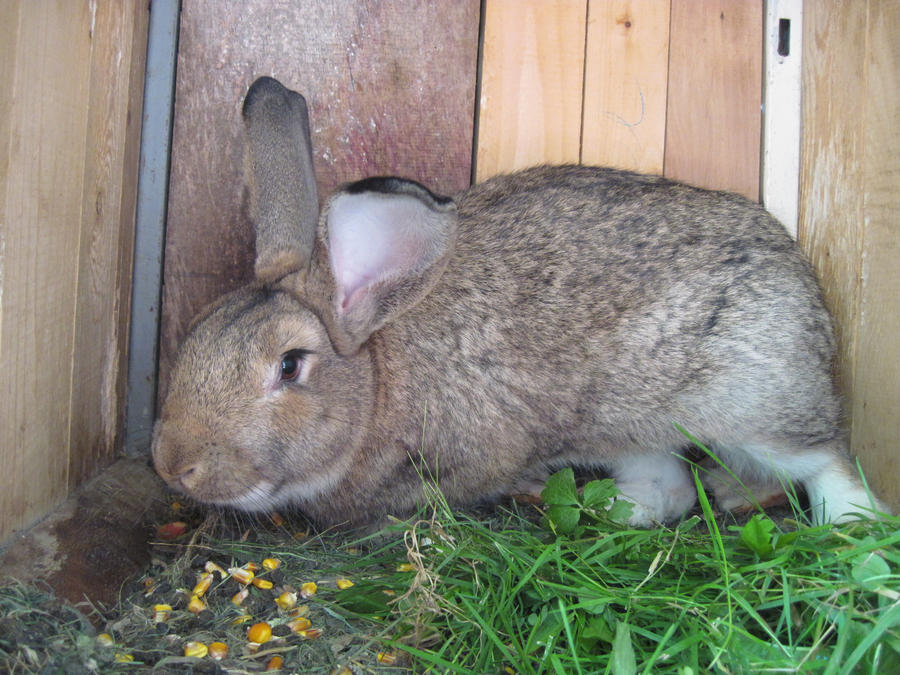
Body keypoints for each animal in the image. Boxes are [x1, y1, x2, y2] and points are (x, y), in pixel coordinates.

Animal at [152, 76, 887, 530]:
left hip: (751, 397)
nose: (172, 464)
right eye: (194, 336)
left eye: (289, 366)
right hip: (624, 427)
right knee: (669, 487)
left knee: (822, 460)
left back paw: (833, 516)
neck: (380, 378)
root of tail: (811, 297)